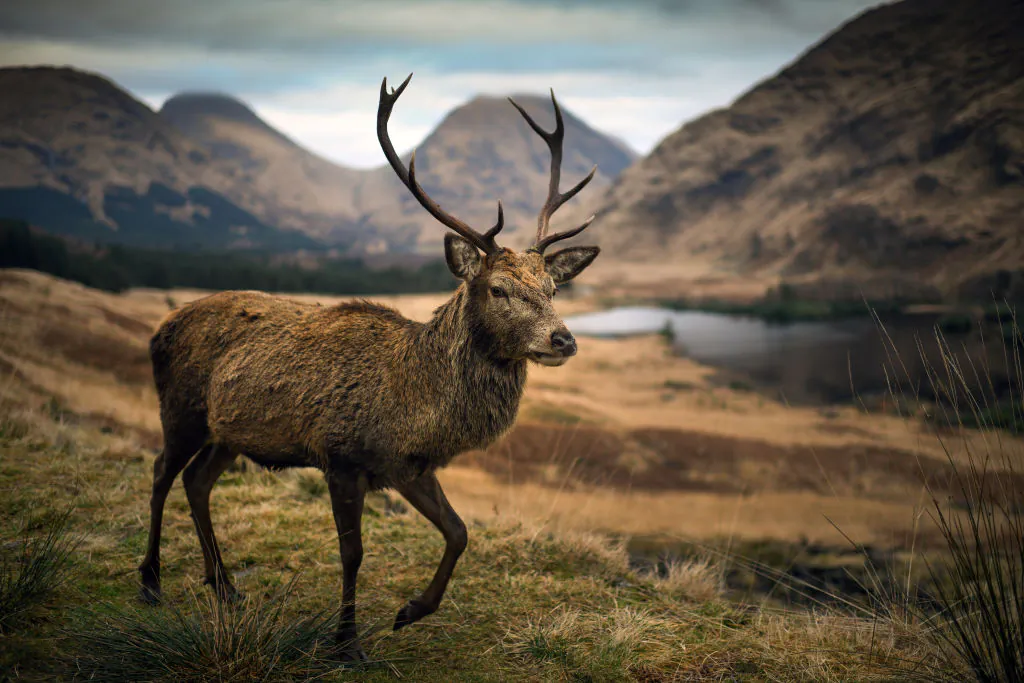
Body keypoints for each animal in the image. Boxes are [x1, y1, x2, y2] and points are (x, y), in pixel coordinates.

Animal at [137, 74, 601, 662]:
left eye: (552, 288)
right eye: (498, 289)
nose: (563, 339)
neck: (413, 405)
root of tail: (160, 328)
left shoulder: (409, 466)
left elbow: (459, 532)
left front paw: (410, 611)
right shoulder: (341, 457)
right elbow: (353, 553)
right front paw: (346, 641)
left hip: (229, 433)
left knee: (197, 482)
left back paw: (224, 586)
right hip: (181, 408)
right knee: (160, 472)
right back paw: (150, 581)